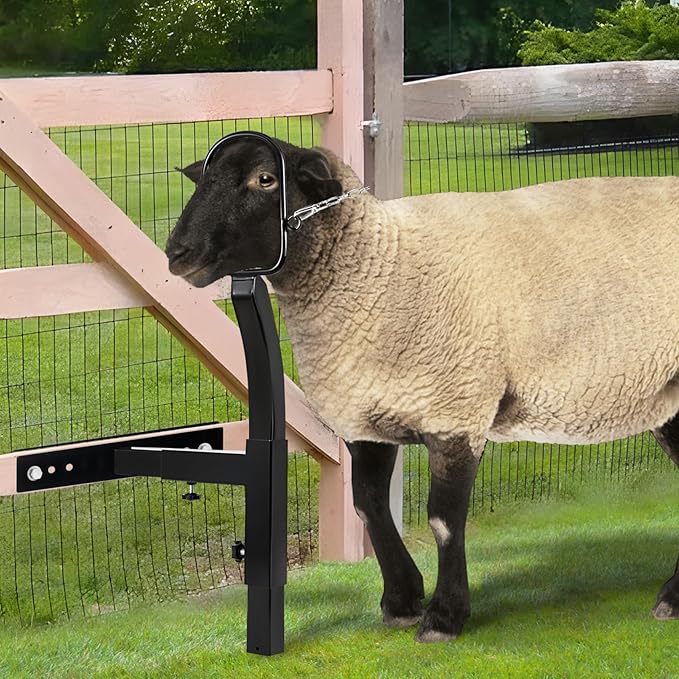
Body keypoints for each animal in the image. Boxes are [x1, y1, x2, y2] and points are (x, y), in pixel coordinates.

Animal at [165, 135, 679, 642]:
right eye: (204, 176)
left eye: (265, 179)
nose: (176, 252)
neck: (380, 264)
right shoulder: (364, 418)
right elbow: (369, 506)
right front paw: (401, 601)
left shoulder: (455, 409)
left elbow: (443, 519)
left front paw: (444, 617)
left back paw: (670, 598)